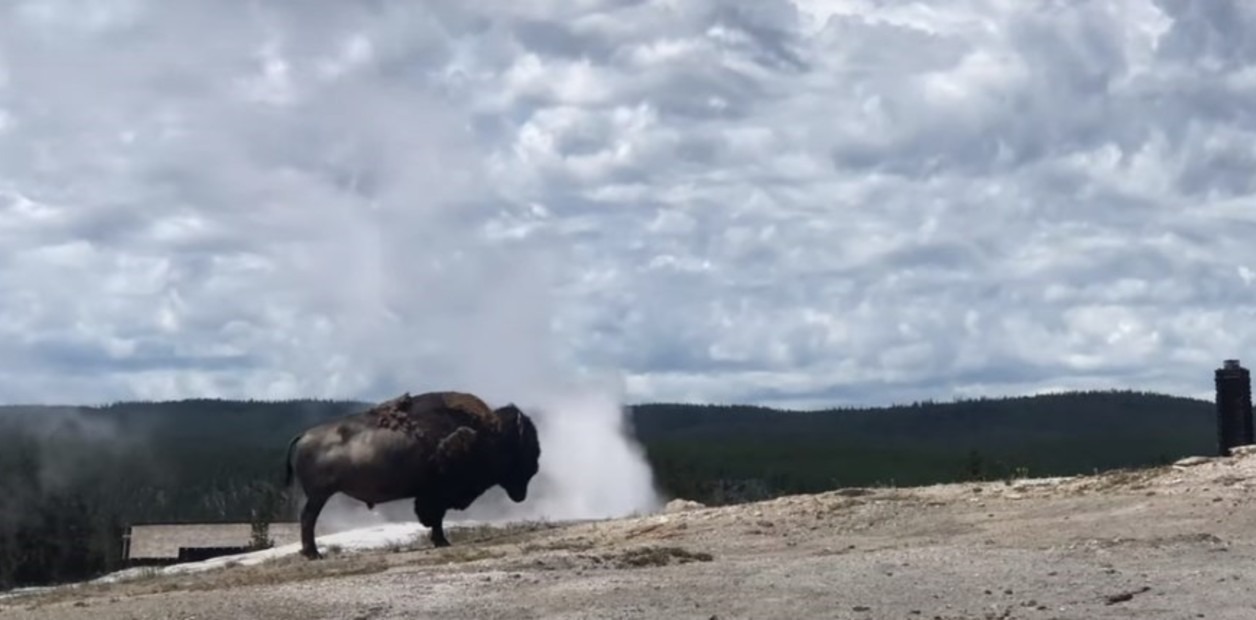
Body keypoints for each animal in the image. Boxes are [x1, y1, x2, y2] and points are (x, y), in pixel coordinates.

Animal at [285, 389, 540, 559]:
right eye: (526, 444)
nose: (536, 466)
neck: (486, 432)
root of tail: (303, 435)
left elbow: (435, 518)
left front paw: (440, 541)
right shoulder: (436, 494)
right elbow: (435, 518)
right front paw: (442, 541)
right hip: (318, 495)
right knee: (308, 519)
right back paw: (313, 554)